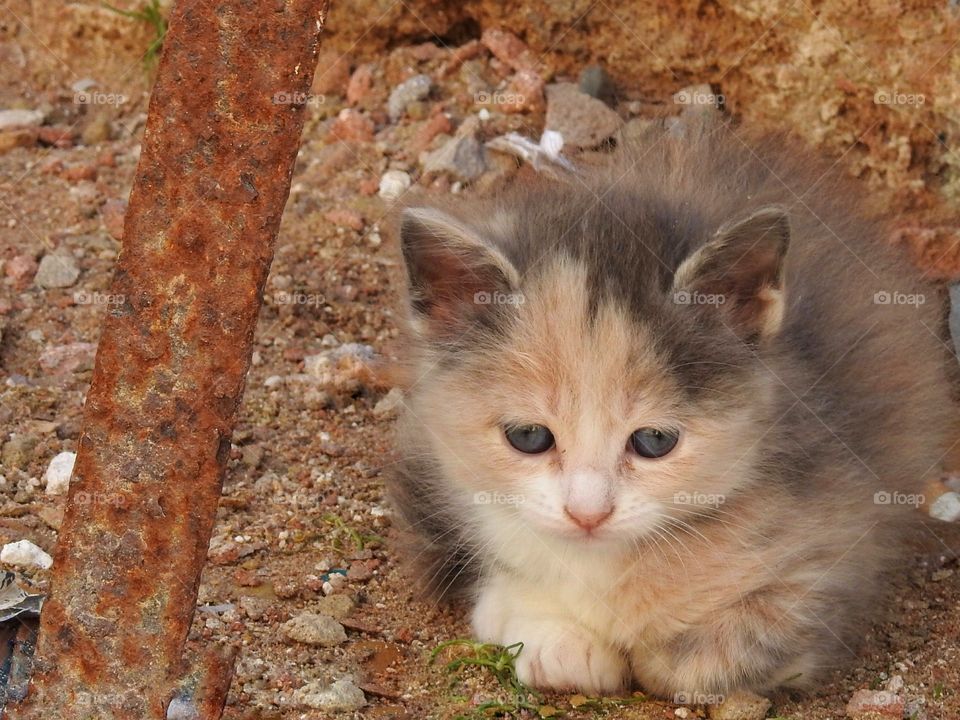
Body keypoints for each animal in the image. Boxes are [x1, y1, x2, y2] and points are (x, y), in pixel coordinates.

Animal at [386, 121, 948, 700]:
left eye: (654, 441)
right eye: (529, 437)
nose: (587, 514)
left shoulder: (834, 543)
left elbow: (713, 655)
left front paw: (667, 652)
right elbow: (503, 602)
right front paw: (562, 643)